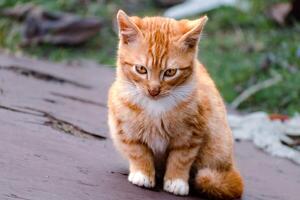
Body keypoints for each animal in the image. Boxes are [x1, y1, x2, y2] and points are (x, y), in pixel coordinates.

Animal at [108, 9, 244, 200]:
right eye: (141, 69)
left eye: (170, 72)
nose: (154, 90)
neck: (156, 106)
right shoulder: (125, 127)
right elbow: (138, 151)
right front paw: (143, 173)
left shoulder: (191, 134)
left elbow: (181, 158)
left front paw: (176, 181)